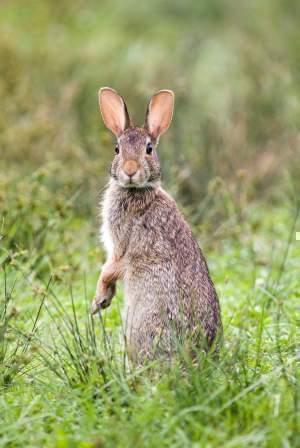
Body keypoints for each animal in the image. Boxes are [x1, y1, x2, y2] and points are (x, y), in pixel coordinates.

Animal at [90, 88, 221, 364]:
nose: (130, 170)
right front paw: (102, 302)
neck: (137, 191)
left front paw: (98, 301)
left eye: (149, 149)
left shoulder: (122, 246)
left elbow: (109, 270)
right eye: (117, 149)